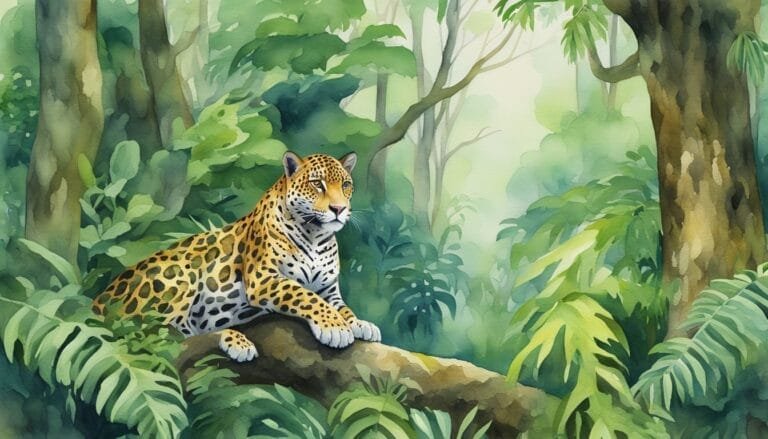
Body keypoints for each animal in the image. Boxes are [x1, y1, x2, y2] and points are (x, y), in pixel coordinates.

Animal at [92, 151, 381, 362]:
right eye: (317, 184)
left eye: (346, 185)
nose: (339, 209)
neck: (316, 236)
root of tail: (97, 301)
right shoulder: (264, 279)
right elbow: (305, 296)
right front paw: (335, 327)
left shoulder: (328, 289)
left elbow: (341, 306)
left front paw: (359, 323)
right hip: (181, 274)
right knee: (154, 334)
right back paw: (235, 340)